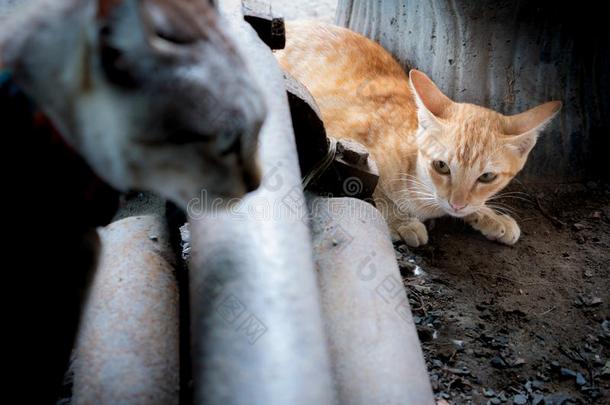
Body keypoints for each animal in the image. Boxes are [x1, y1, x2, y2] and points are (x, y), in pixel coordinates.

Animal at [276, 21, 560, 246]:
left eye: (487, 176)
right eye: (441, 166)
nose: (457, 204)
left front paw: (489, 215)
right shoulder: (334, 140)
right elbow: (368, 186)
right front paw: (399, 220)